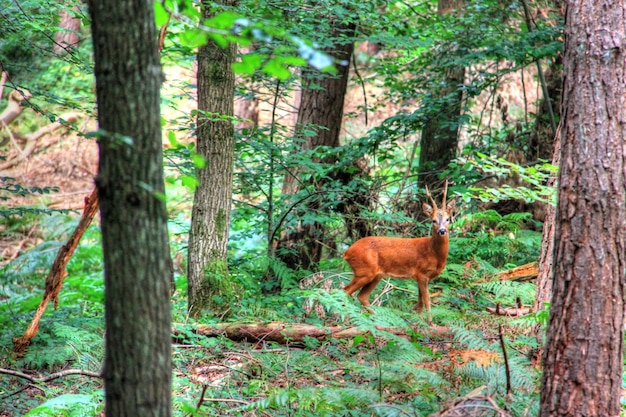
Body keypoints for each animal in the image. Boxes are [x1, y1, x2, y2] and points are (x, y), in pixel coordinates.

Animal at [342, 180, 454, 316]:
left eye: (448, 219)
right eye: (433, 220)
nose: (442, 231)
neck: (433, 252)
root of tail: (347, 252)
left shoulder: (422, 277)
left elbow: (420, 301)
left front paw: (420, 319)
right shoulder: (421, 273)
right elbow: (427, 300)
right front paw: (429, 321)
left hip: (376, 274)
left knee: (361, 296)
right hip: (364, 270)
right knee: (345, 291)